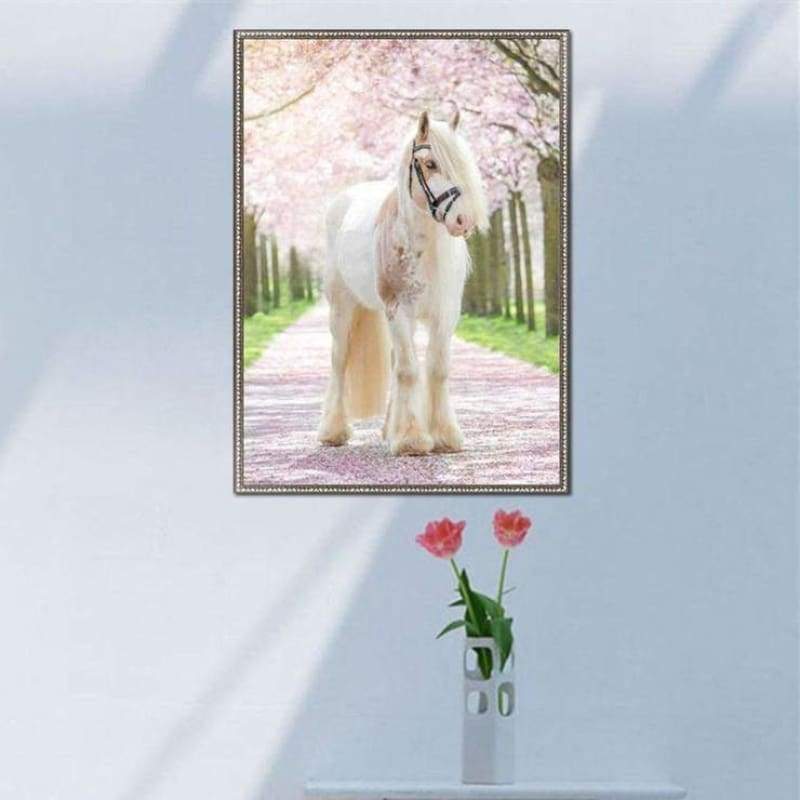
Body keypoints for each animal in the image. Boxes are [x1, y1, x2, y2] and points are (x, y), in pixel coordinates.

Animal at [318, 110, 489, 456]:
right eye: (431, 163)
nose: (463, 221)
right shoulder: (398, 309)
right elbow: (410, 371)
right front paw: (412, 440)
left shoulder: (445, 316)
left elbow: (435, 369)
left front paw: (444, 436)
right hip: (342, 308)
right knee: (340, 361)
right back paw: (333, 431)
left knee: (396, 362)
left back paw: (388, 430)